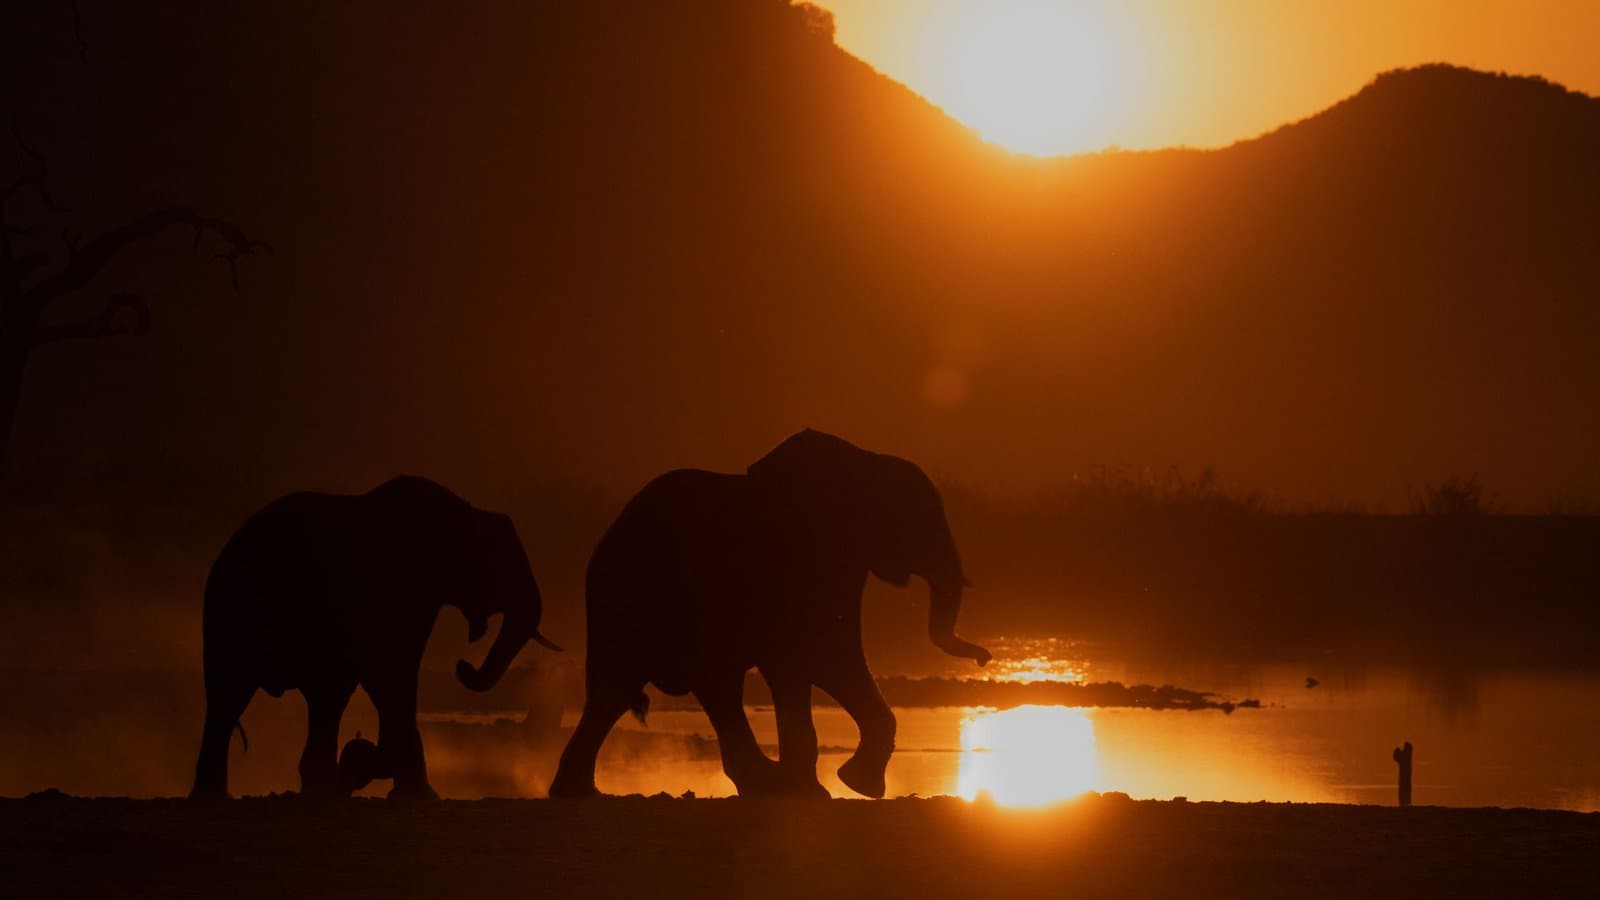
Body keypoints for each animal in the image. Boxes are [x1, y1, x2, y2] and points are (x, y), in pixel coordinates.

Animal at [190, 475, 560, 800]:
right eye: (503, 568)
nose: (463, 665)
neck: (462, 512)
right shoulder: (389, 593)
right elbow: (390, 675)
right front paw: (411, 790)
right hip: (227, 615)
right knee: (231, 694)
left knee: (321, 698)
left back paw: (318, 790)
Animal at [549, 430, 990, 799]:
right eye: (913, 517)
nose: (985, 658)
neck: (862, 460)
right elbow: (818, 663)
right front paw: (829, 791)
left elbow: (827, 665)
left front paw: (850, 785)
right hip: (622, 598)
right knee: (641, 687)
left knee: (658, 689)